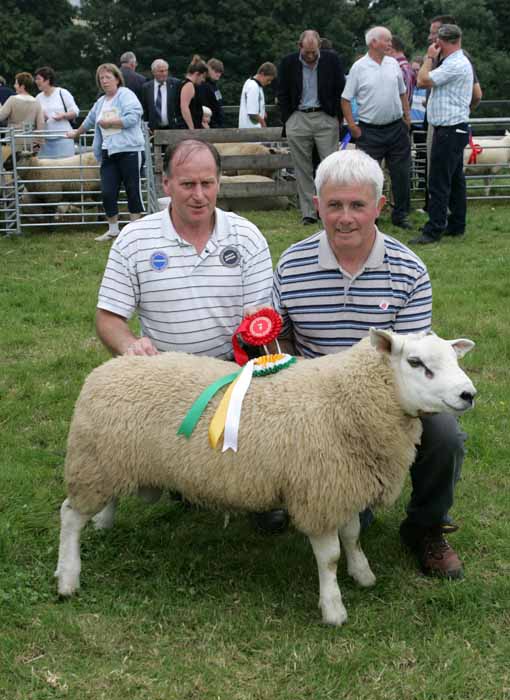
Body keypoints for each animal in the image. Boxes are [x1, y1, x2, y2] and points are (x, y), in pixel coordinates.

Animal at [57, 330, 476, 628]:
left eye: (453, 358)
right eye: (416, 362)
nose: (468, 394)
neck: (347, 398)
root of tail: (107, 368)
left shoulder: (342, 485)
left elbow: (353, 536)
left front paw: (363, 574)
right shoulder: (318, 491)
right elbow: (329, 557)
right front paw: (333, 609)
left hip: (110, 461)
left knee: (102, 501)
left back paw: (103, 523)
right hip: (93, 462)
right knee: (68, 516)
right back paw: (67, 578)